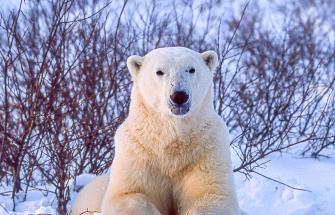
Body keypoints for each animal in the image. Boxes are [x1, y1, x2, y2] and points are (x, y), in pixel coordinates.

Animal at [72, 47, 242, 215]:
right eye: (159, 71)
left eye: (191, 69)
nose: (179, 96)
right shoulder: (138, 152)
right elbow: (127, 195)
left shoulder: (205, 150)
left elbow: (212, 194)